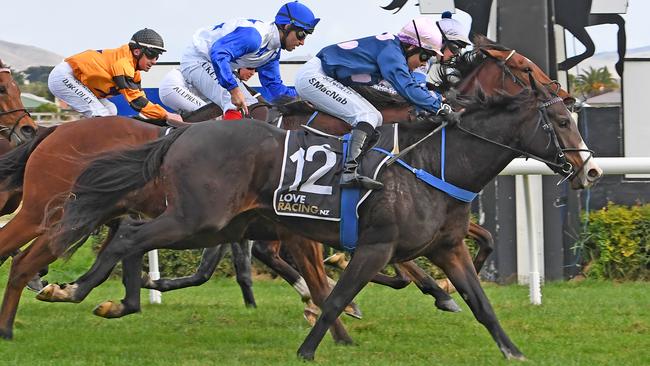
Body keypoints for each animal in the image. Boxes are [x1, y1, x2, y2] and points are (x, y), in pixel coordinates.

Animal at [48, 40, 600, 360]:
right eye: (524, 68)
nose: (590, 168)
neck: (429, 160)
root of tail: (182, 132)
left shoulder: (440, 242)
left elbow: (478, 291)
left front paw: (499, 339)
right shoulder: (367, 240)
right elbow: (350, 286)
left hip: (216, 222)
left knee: (135, 238)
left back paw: (114, 296)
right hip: (200, 218)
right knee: (134, 237)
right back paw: (75, 290)